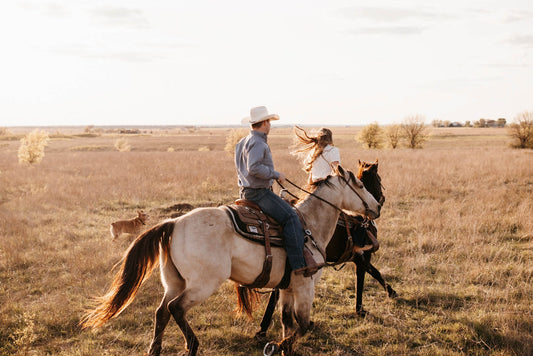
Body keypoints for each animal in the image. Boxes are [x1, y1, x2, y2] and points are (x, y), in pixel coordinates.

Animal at [80, 167, 378, 356]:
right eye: (361, 185)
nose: (376, 207)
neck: (309, 226)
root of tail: (174, 223)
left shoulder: (287, 288)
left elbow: (287, 323)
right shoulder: (305, 286)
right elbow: (303, 325)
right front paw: (274, 347)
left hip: (174, 281)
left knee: (162, 311)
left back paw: (155, 350)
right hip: (203, 284)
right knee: (176, 308)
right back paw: (193, 346)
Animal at [256, 160, 396, 346]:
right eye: (378, 179)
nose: (379, 204)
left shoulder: (358, 258)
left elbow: (373, 273)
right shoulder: (362, 258)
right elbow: (370, 276)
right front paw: (362, 308)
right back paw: (265, 329)